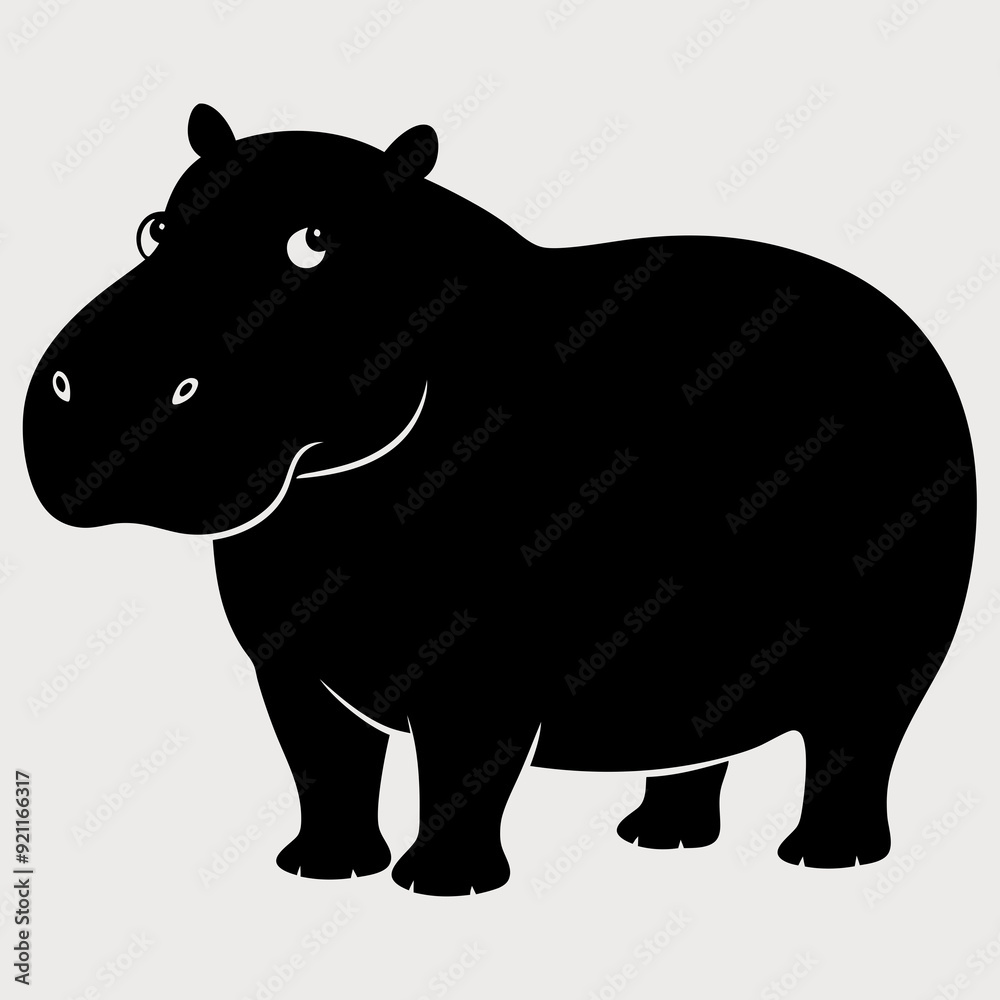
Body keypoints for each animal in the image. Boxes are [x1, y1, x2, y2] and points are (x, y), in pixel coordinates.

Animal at [23, 104, 976, 895]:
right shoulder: (290, 666)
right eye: (154, 228)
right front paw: (322, 870)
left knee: (857, 747)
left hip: (889, 650)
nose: (97, 391)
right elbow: (323, 768)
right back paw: (660, 837)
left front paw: (441, 885)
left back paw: (827, 857)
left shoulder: (480, 666)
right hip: (697, 666)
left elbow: (463, 772)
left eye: (316, 239)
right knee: (698, 743)